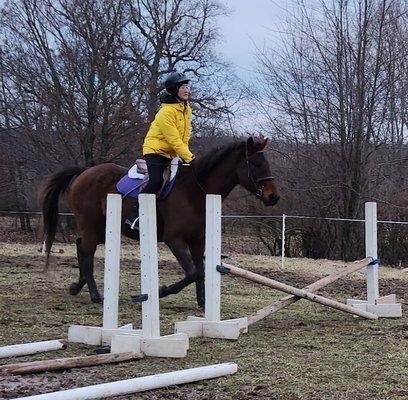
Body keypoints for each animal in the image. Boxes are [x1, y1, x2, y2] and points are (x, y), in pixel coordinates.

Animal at [39, 138, 278, 306]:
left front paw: (202, 302)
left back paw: (76, 286)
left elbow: (200, 271)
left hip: (100, 228)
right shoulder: (175, 239)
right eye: (255, 164)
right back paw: (95, 295)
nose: (273, 197)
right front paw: (162, 291)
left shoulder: (198, 240)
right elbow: (191, 272)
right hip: (91, 225)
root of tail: (84, 172)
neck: (196, 190)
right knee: (87, 252)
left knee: (81, 247)